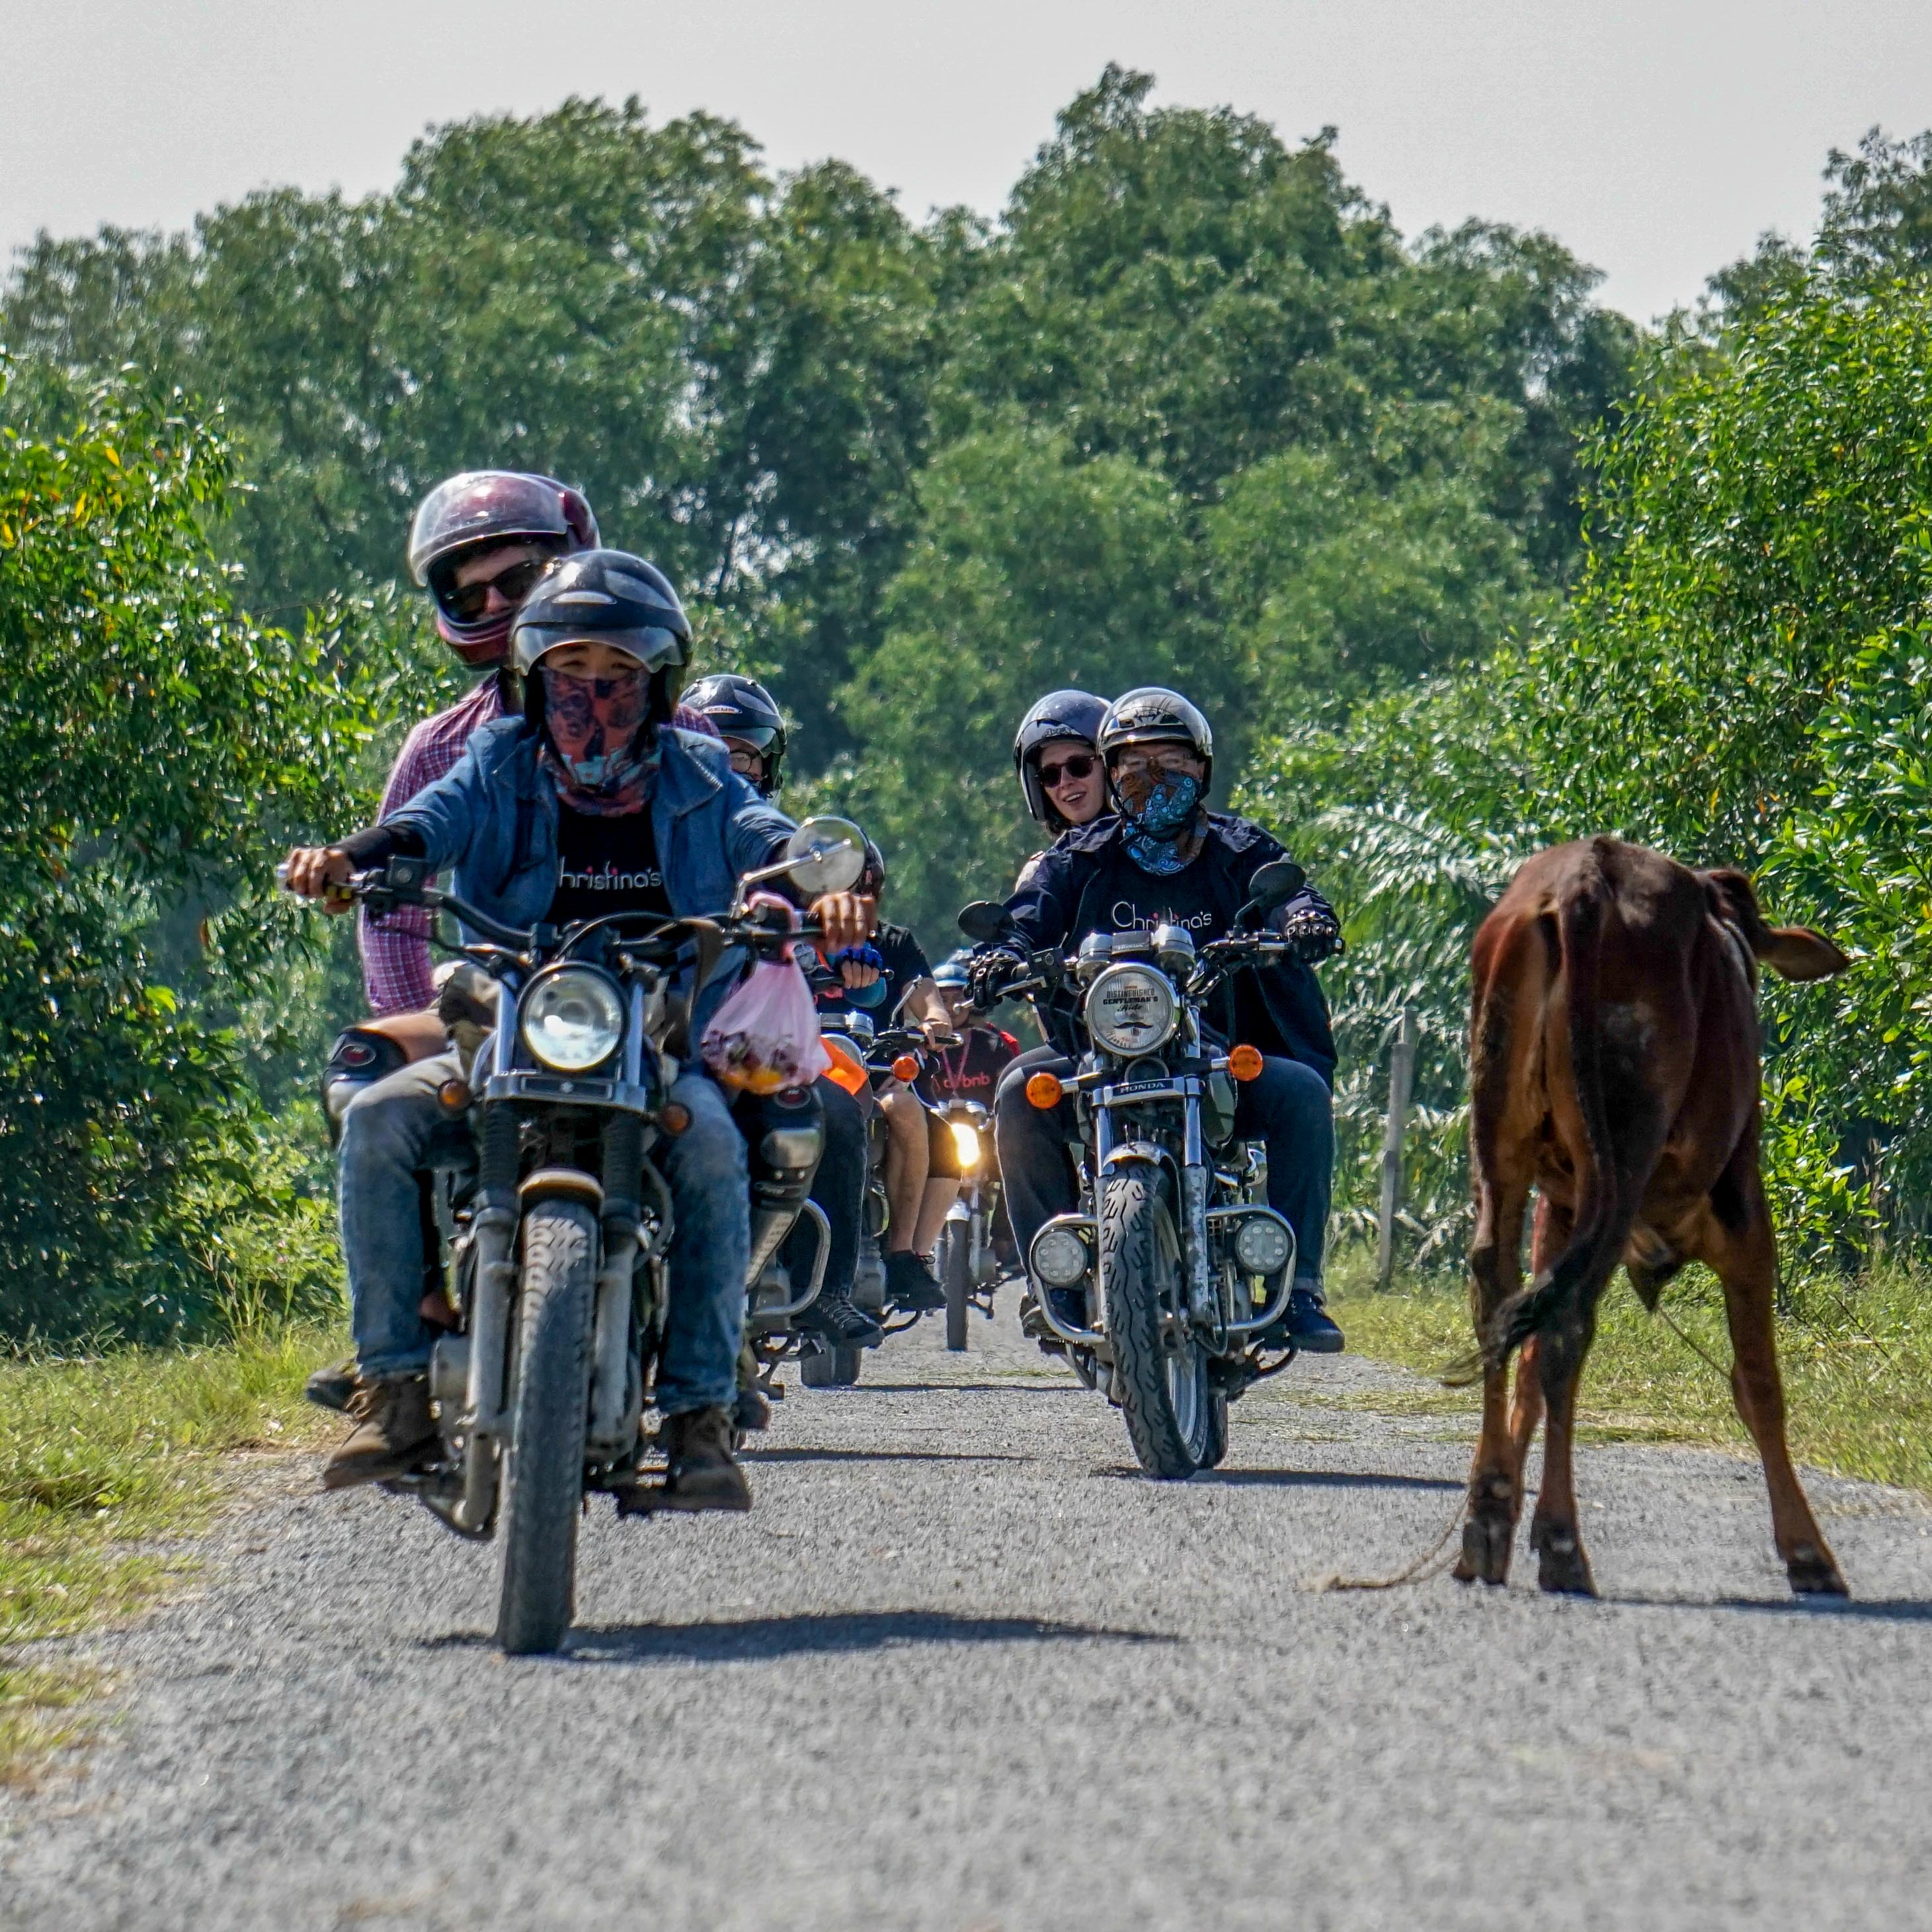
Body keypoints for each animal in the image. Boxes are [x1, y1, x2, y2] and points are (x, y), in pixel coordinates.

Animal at [1453, 838, 1847, 1591]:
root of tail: (1585, 877)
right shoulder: (1744, 1210)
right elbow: (1758, 1385)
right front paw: (1807, 1551)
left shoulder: (1559, 1206)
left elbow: (1529, 1364)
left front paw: (1506, 1506)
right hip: (1623, 1163)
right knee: (1568, 1326)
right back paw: (1562, 1542)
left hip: (1502, 1140)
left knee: (1498, 1293)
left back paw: (1486, 1522)